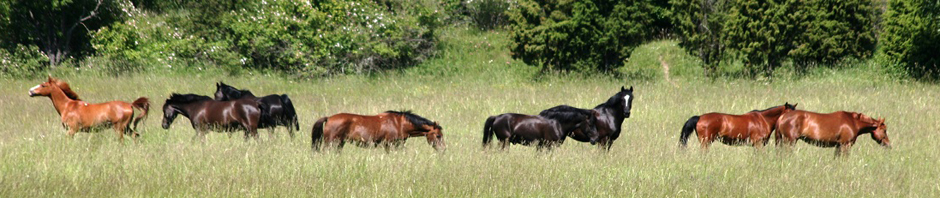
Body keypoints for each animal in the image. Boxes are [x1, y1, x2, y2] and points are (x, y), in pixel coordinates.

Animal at [310, 111, 446, 152]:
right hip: (330, 143)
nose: (443, 149)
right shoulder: (390, 145)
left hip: (339, 144)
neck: (400, 124)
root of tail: (329, 118)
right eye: (438, 136)